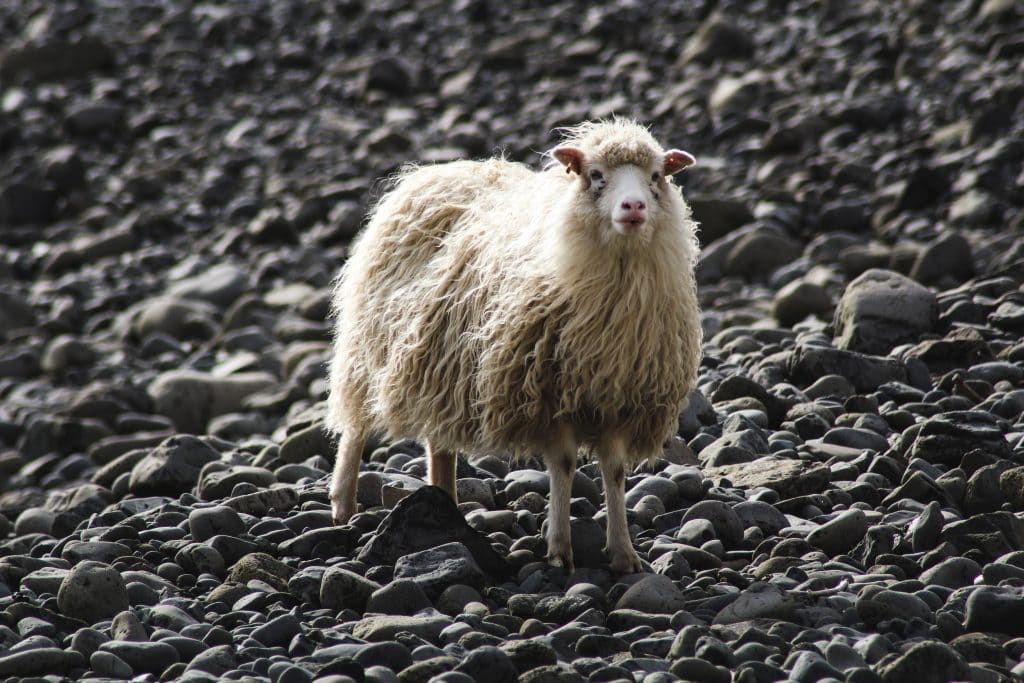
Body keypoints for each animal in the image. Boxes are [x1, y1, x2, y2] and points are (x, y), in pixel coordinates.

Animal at [327, 118, 704, 573]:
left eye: (656, 176)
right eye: (595, 175)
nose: (633, 207)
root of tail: (436, 170)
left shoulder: (619, 400)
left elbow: (613, 472)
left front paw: (623, 553)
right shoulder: (546, 395)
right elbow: (563, 465)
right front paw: (559, 549)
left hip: (440, 366)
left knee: (439, 442)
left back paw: (444, 501)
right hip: (369, 344)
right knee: (355, 425)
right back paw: (343, 503)